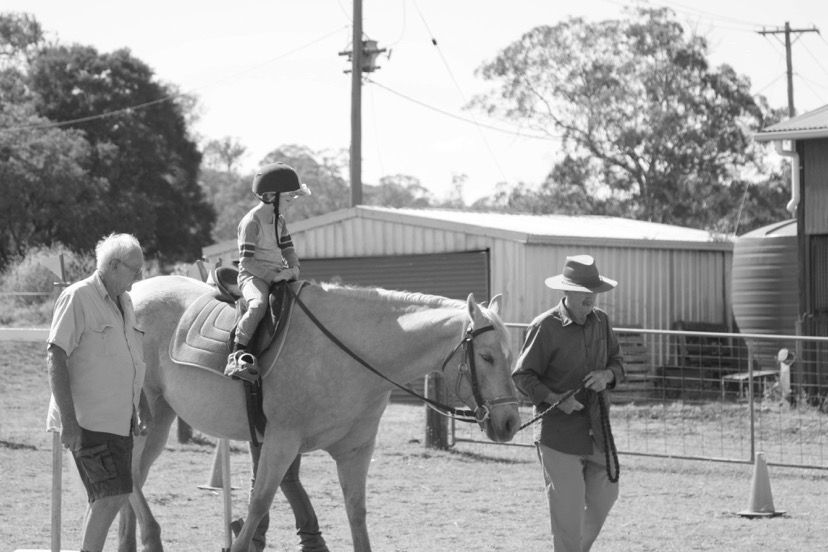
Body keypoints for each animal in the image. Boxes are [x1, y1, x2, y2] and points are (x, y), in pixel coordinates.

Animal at [122, 274, 521, 552]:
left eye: (509, 353)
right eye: (487, 356)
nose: (510, 423)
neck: (348, 355)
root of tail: (129, 293)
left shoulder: (355, 451)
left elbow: (356, 512)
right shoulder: (281, 441)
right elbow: (258, 504)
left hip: (160, 418)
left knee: (133, 480)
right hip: (145, 419)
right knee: (131, 476)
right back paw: (152, 536)